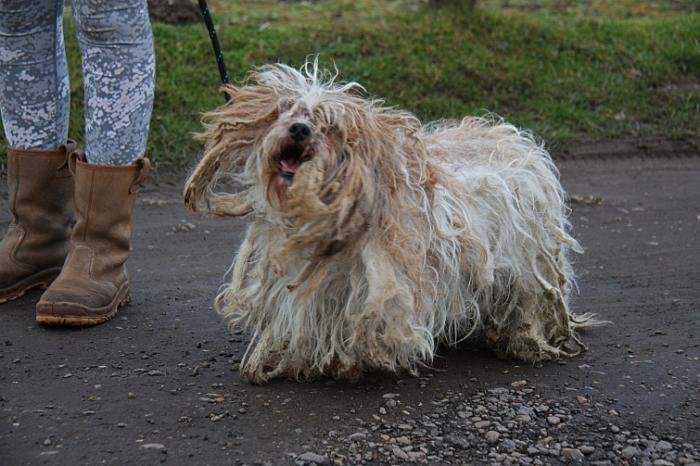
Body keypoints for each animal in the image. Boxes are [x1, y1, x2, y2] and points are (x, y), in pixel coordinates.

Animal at [183, 60, 600, 384]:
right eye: (287, 111)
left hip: (530, 262)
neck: (324, 213)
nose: (299, 129)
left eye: (331, 126)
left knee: (530, 298)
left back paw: (524, 342)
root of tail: (517, 139)